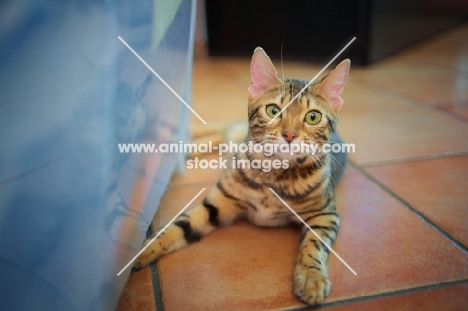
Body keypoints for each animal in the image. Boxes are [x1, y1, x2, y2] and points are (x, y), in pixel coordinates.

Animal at [133, 47, 350, 306]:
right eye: (273, 110)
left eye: (313, 117)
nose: (289, 135)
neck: (274, 173)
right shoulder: (218, 203)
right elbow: (175, 228)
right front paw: (138, 254)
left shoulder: (325, 215)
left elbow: (314, 244)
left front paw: (311, 277)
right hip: (231, 132)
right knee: (215, 127)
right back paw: (167, 129)